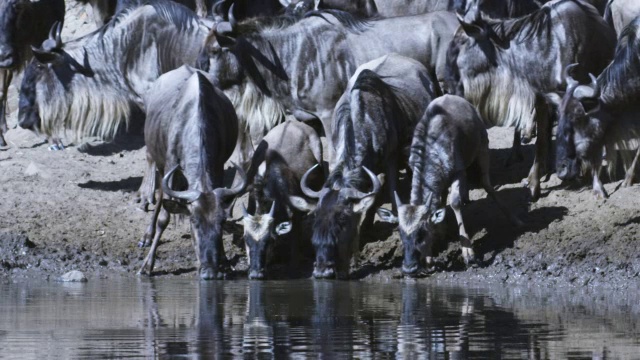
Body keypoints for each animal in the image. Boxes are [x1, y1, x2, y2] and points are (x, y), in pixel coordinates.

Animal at [138, 67, 245, 282]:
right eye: (193, 221)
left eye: (221, 223)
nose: (209, 271)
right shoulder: (171, 166)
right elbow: (164, 217)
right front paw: (147, 266)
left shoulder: (218, 166)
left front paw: (224, 262)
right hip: (160, 163)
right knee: (160, 197)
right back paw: (147, 235)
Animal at [396, 95, 524, 276]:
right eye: (401, 234)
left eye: (421, 233)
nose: (409, 267)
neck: (431, 151)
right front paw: (429, 259)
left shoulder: (459, 171)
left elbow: (456, 202)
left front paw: (468, 254)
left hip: (482, 147)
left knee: (487, 184)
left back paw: (515, 220)